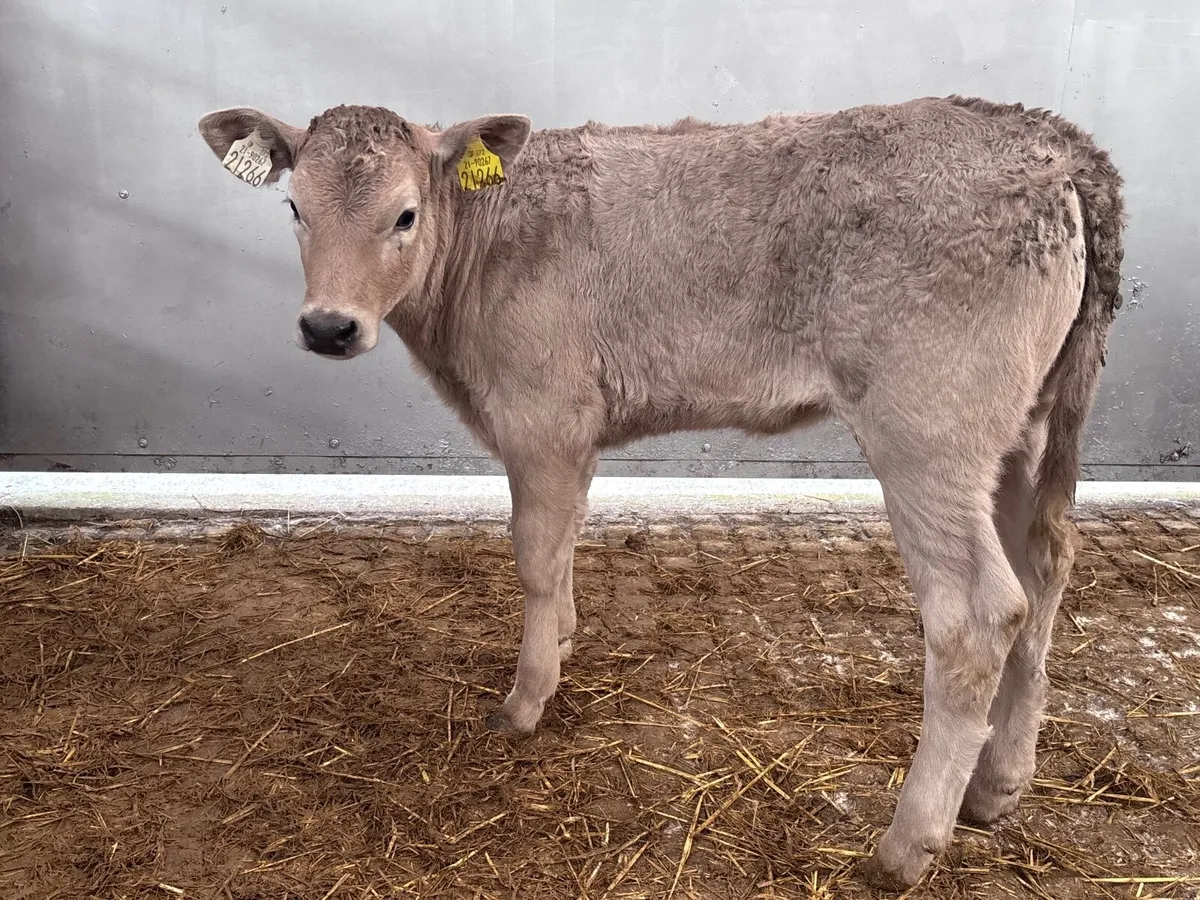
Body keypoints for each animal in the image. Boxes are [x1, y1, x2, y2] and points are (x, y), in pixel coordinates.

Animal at [197, 95, 1124, 889]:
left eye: (404, 215)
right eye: (295, 209)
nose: (328, 326)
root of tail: (1049, 139)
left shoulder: (542, 412)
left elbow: (534, 553)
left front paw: (526, 699)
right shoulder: (572, 432)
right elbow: (565, 541)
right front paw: (564, 640)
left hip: (930, 428)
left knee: (978, 614)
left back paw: (905, 846)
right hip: (1022, 430)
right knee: (1045, 569)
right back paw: (998, 787)